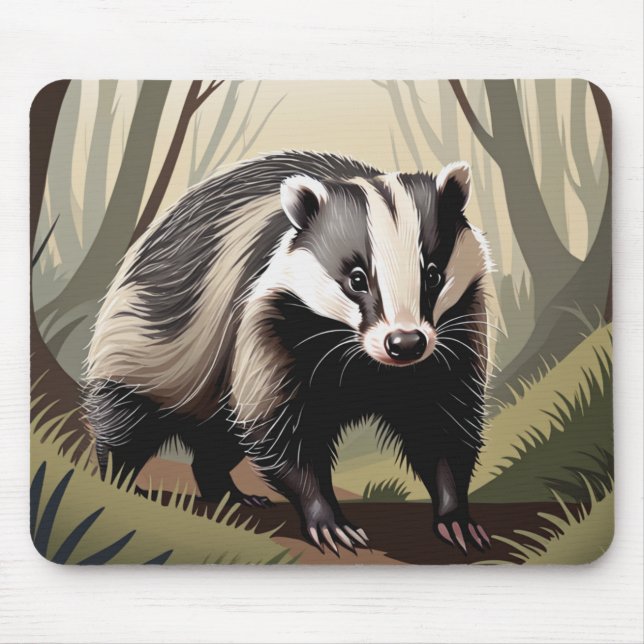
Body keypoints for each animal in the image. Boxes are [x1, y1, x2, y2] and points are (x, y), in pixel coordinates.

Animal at [85, 151, 493, 554]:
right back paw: (121, 480)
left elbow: (442, 421)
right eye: (356, 279)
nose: (405, 343)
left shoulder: (453, 337)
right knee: (129, 421)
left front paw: (456, 517)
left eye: (433, 275)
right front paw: (331, 522)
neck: (364, 361)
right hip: (148, 347)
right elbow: (279, 428)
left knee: (215, 441)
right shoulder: (271, 321)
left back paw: (232, 493)